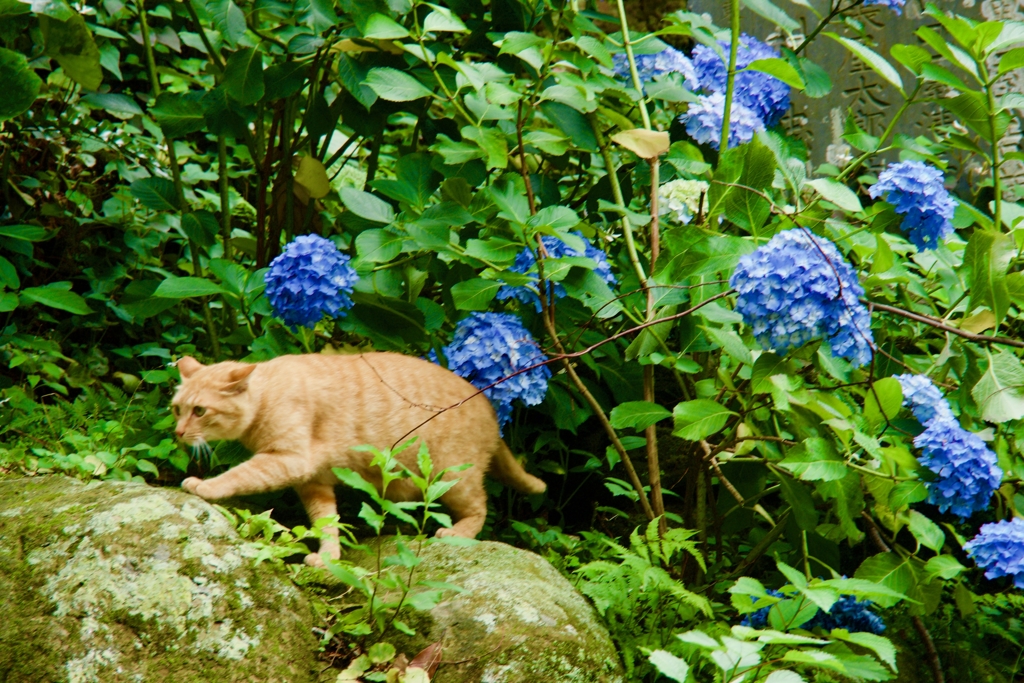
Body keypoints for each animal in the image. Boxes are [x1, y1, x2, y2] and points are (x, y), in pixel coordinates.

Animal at [172, 352, 548, 565]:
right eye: (177, 409)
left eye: (199, 411)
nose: (177, 432)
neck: (267, 394)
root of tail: (491, 410)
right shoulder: (313, 481)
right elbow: (326, 522)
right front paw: (329, 557)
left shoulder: (290, 460)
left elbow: (239, 475)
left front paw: (205, 486)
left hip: (450, 479)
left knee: (480, 507)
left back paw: (457, 533)